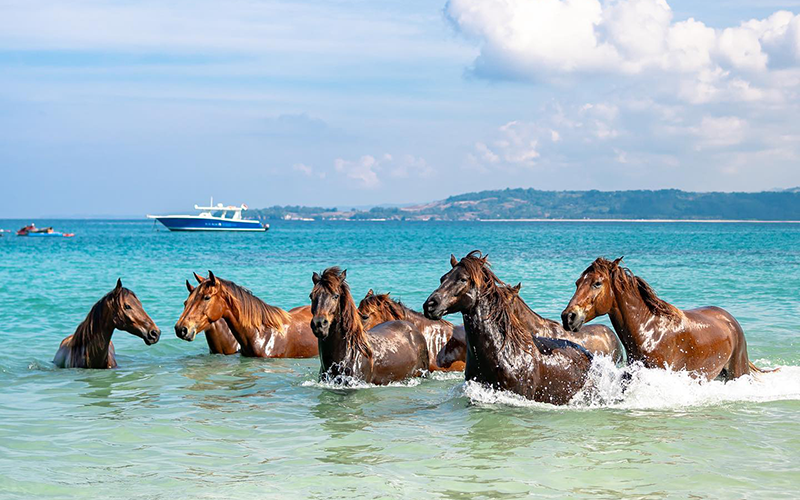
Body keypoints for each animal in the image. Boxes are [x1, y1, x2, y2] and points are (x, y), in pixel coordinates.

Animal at [561, 257, 766, 380]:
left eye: (597, 283)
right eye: (577, 283)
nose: (568, 317)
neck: (650, 332)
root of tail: (730, 320)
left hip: (737, 372)